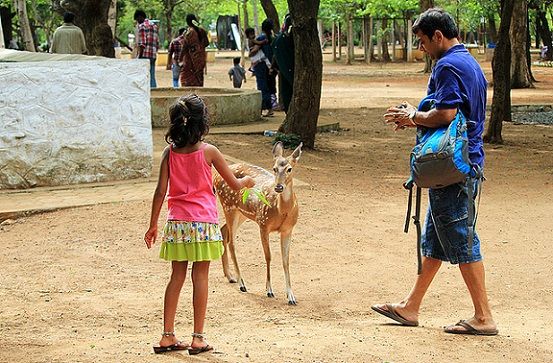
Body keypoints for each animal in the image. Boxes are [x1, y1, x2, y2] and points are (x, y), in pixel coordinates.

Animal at [215, 141, 302, 306]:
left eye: (289, 168)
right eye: (274, 168)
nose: (278, 187)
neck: (282, 211)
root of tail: (215, 176)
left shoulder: (288, 229)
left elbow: (286, 261)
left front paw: (291, 297)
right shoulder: (263, 224)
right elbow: (268, 256)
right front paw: (269, 290)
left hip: (242, 213)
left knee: (223, 231)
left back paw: (230, 276)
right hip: (228, 205)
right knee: (231, 242)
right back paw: (241, 283)